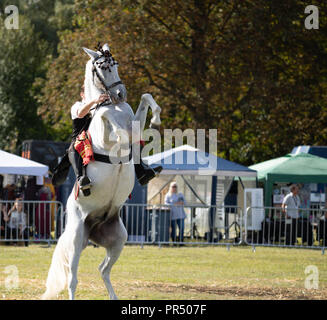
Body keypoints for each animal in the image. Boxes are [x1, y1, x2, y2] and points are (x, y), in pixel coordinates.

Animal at [41, 43, 162, 300]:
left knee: (103, 270)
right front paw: (121, 133)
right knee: (72, 278)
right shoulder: (104, 132)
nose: (120, 94)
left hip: (118, 239)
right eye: (103, 67)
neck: (111, 104)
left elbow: (145, 100)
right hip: (76, 238)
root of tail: (92, 229)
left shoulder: (134, 118)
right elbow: (108, 120)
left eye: (115, 64)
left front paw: (155, 121)